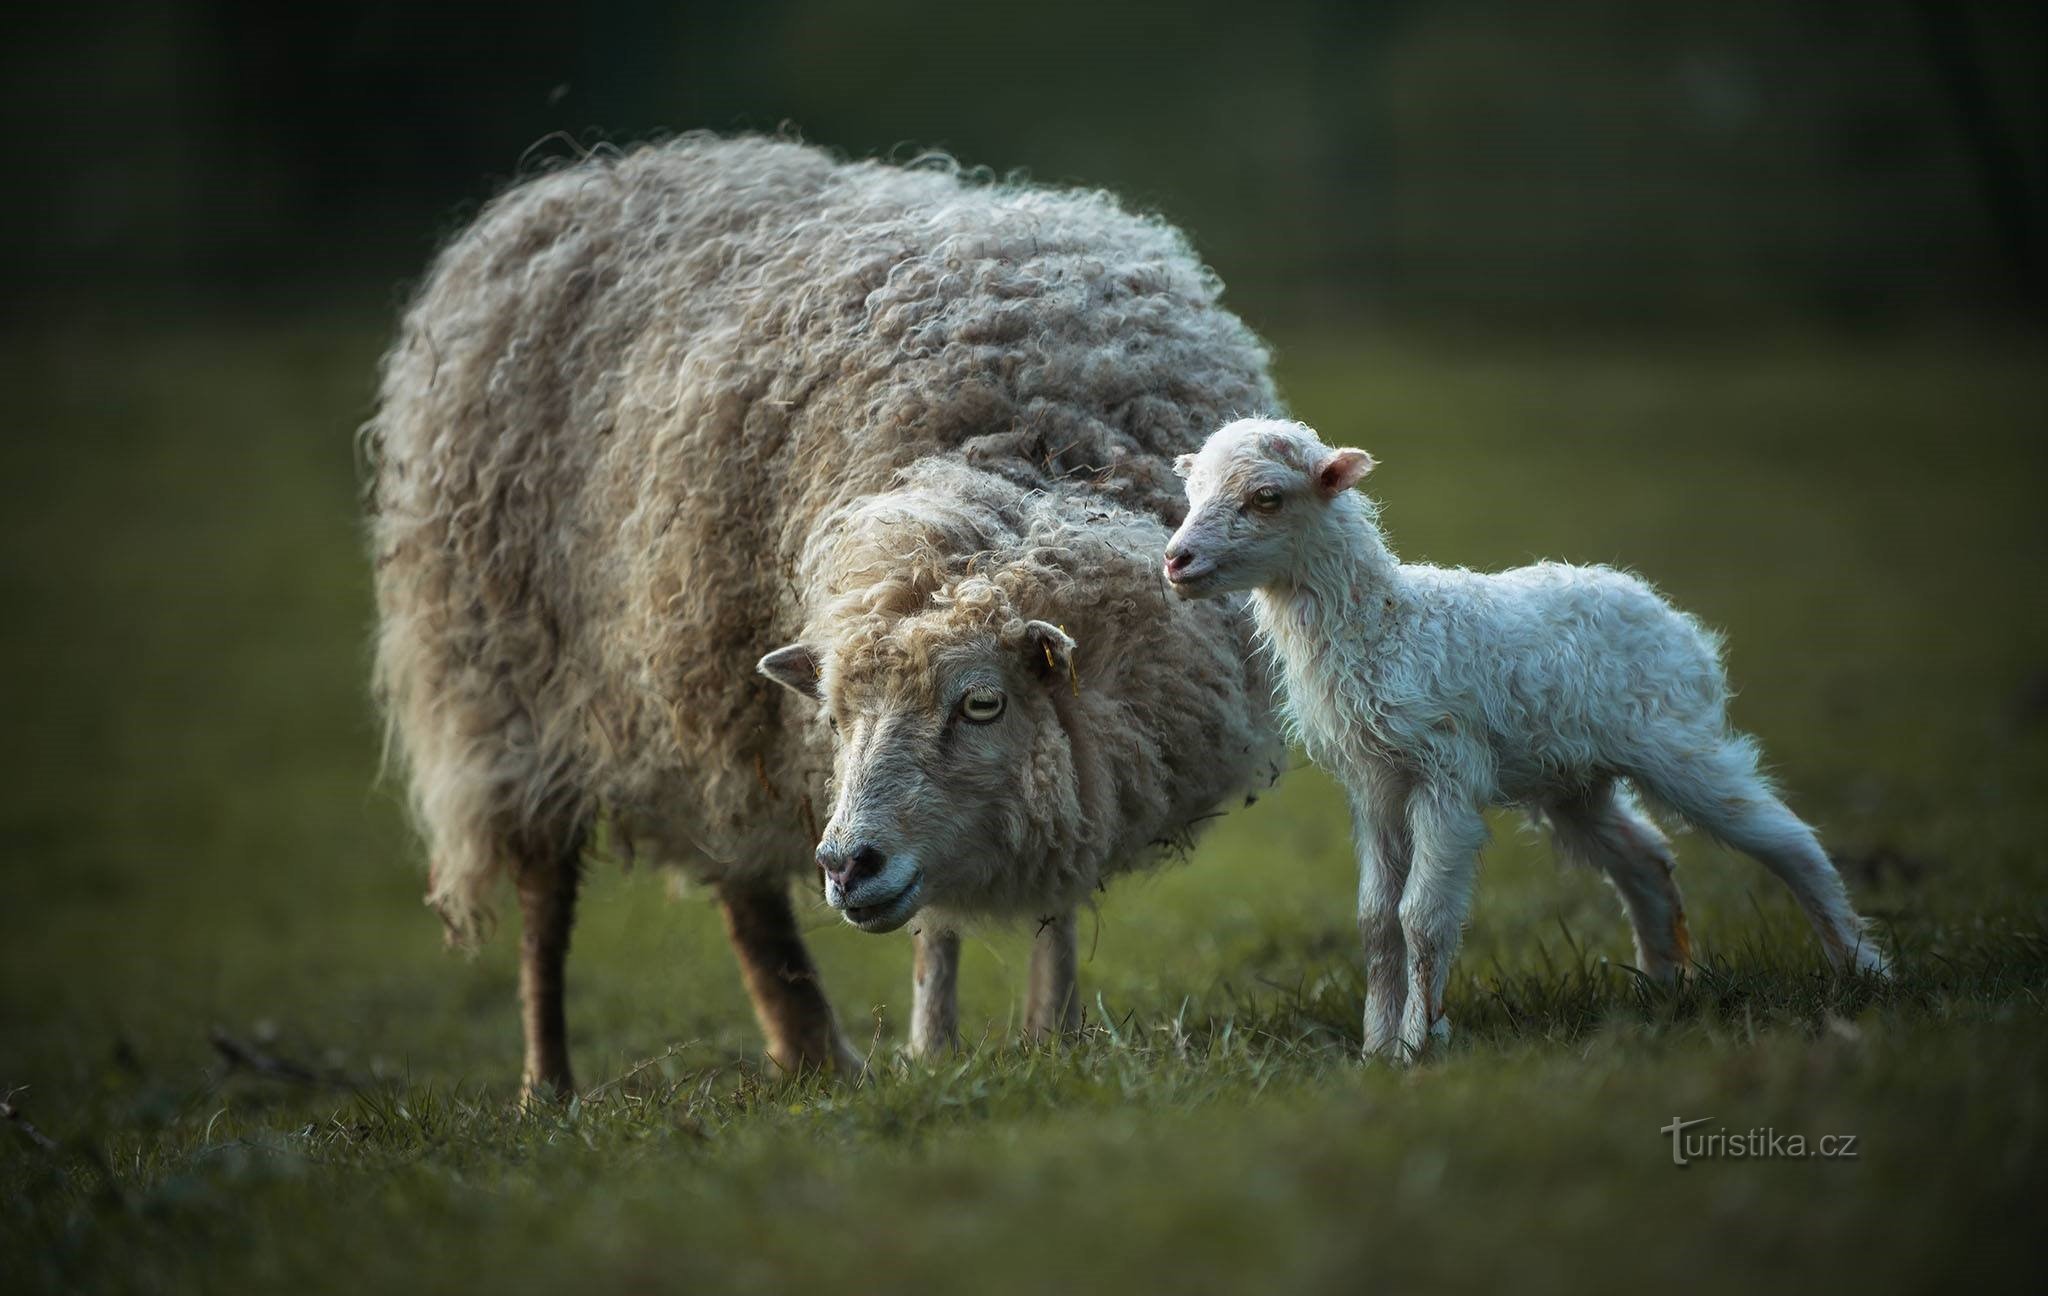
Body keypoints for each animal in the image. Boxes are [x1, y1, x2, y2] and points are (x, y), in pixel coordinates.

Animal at [364, 136, 1277, 1097]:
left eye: (981, 704)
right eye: (833, 718)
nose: (844, 865)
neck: (1023, 456)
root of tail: (566, 184)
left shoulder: (1072, 765)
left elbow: (1043, 894)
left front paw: (1051, 1032)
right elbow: (932, 921)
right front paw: (933, 1050)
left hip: (697, 684)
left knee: (739, 878)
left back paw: (811, 1052)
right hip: (506, 675)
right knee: (548, 895)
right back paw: (551, 1087)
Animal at [1171, 419, 1884, 1056]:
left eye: (1267, 496)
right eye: (1193, 491)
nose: (1176, 561)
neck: (1385, 624)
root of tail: (1670, 614)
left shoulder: (1446, 774)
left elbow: (1420, 919)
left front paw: (1416, 1048)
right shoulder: (1375, 784)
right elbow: (1376, 923)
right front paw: (1375, 1049)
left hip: (1679, 741)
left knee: (1785, 836)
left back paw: (1863, 970)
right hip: (1575, 781)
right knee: (1646, 857)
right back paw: (1663, 988)